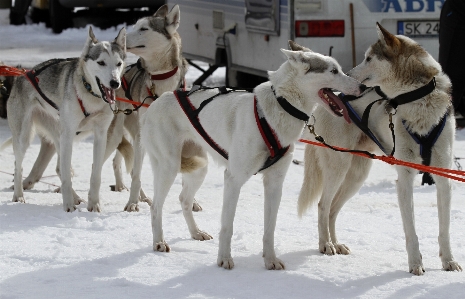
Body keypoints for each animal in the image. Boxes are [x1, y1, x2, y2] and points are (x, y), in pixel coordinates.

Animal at [7, 26, 127, 213]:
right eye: (101, 63)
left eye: (118, 63)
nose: (115, 83)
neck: (89, 94)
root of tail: (23, 73)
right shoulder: (69, 134)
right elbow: (66, 177)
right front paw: (68, 205)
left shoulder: (101, 135)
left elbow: (96, 174)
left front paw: (94, 204)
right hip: (25, 138)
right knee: (19, 166)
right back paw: (19, 195)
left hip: (59, 136)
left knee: (60, 168)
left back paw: (76, 197)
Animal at [140, 41, 364, 270]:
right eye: (333, 71)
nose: (363, 87)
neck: (279, 106)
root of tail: (156, 102)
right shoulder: (233, 179)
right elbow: (227, 226)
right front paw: (224, 259)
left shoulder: (274, 183)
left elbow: (269, 228)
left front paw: (270, 259)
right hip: (169, 167)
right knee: (156, 207)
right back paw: (159, 241)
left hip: (199, 168)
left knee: (184, 200)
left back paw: (196, 232)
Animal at [298, 22, 460, 276]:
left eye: (369, 58)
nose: (348, 75)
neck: (418, 100)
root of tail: (329, 100)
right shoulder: (405, 175)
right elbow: (411, 230)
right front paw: (415, 264)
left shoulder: (443, 175)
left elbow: (444, 229)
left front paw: (449, 261)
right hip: (339, 168)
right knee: (323, 205)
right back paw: (326, 244)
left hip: (356, 176)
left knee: (333, 209)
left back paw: (336, 243)